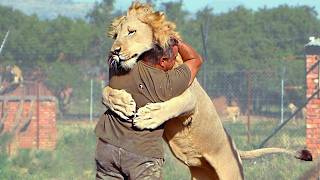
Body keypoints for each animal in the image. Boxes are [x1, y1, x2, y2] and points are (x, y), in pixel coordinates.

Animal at [102, 2, 310, 179]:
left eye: (131, 32)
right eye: (115, 36)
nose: (114, 52)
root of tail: (235, 147)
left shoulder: (189, 95)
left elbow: (174, 105)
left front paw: (149, 117)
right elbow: (106, 91)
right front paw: (121, 104)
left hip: (231, 173)